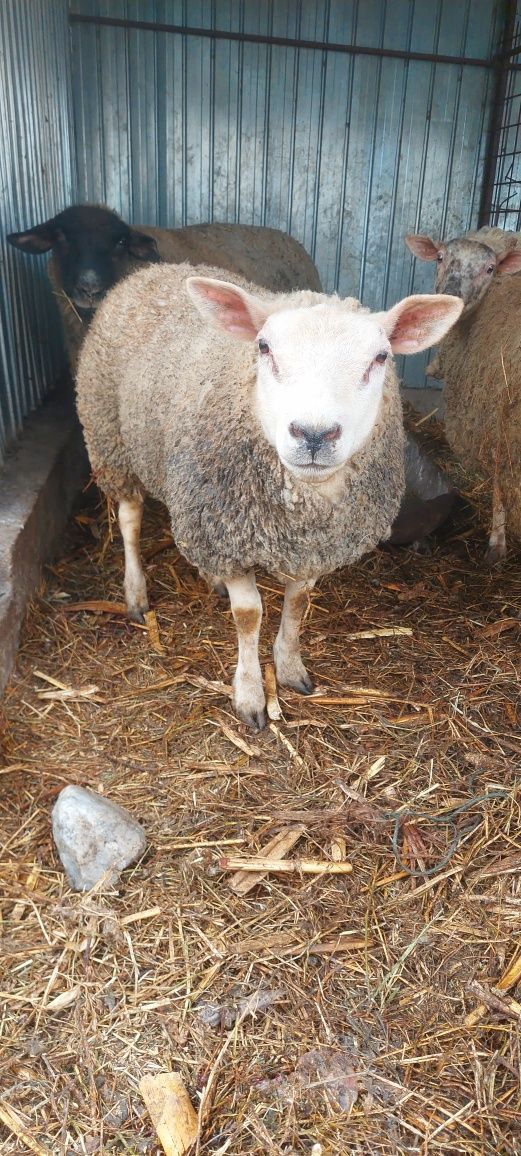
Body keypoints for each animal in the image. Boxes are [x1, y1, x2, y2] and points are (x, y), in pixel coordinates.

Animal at [76, 265, 462, 725]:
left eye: (381, 358)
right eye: (264, 347)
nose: (314, 434)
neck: (303, 504)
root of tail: (149, 271)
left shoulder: (308, 546)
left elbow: (298, 603)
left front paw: (290, 668)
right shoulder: (231, 534)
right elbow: (249, 615)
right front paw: (250, 694)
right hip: (111, 442)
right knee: (130, 519)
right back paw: (135, 593)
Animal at [406, 224, 521, 559]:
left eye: (490, 268)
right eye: (441, 257)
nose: (451, 296)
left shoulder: (497, 413)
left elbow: (499, 478)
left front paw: (497, 543)